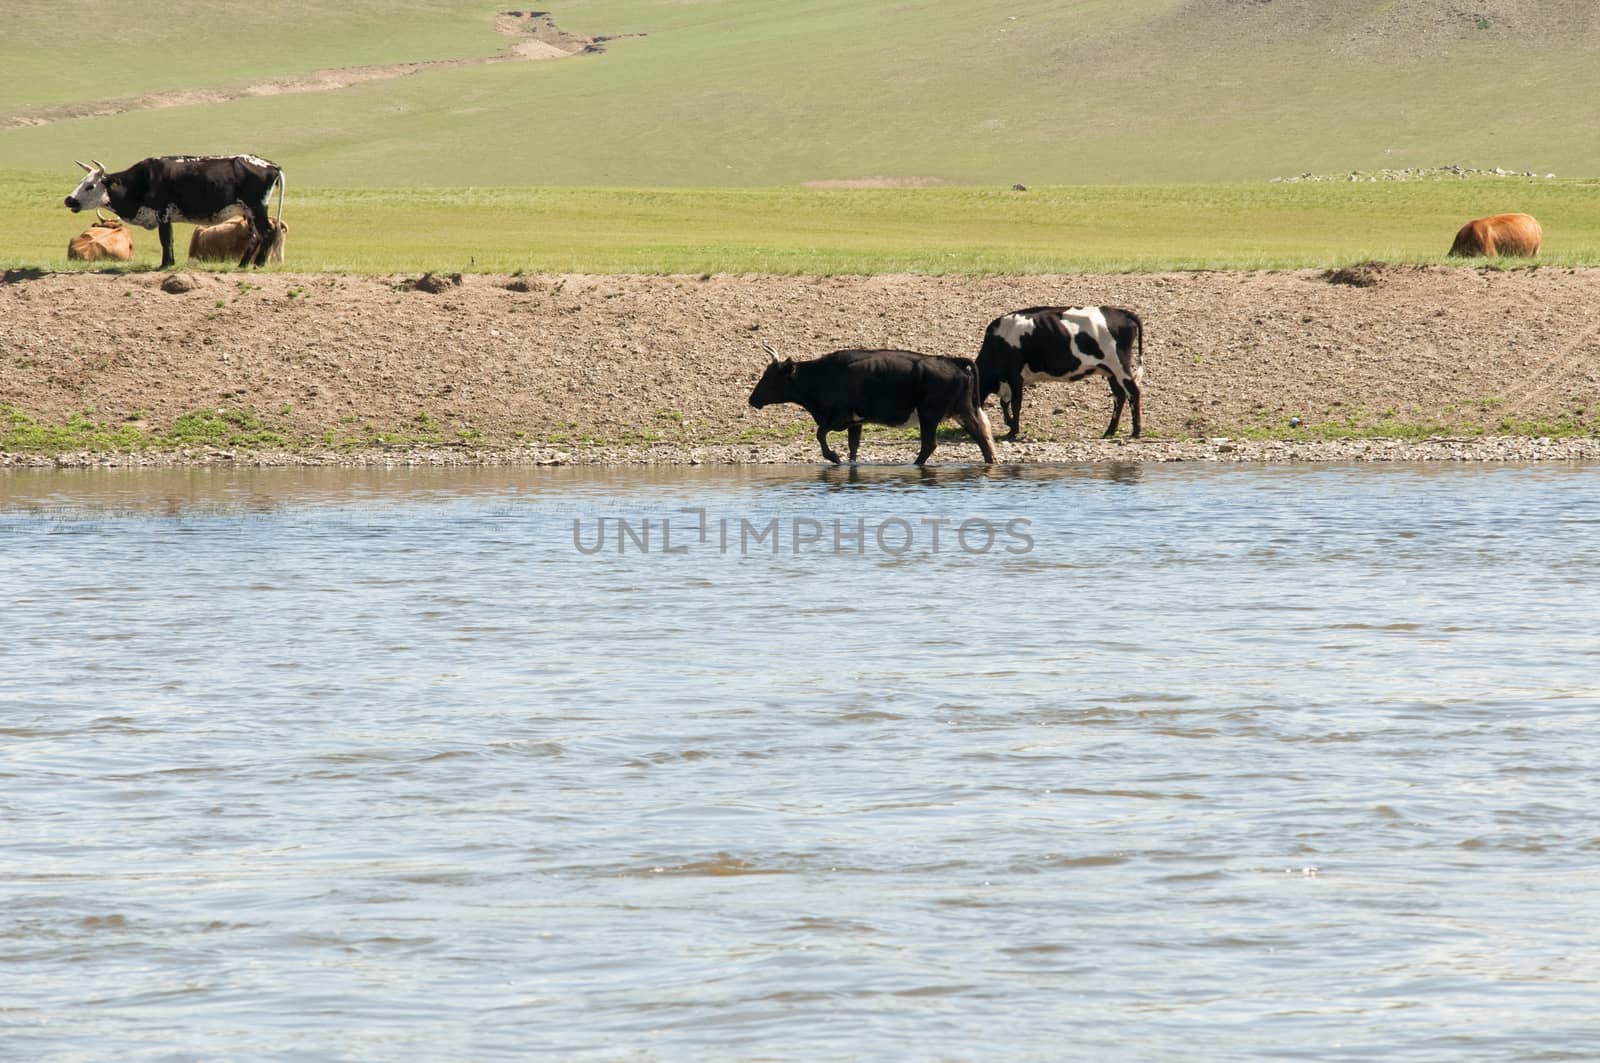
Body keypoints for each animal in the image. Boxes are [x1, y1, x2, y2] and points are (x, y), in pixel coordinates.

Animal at [63, 156, 284, 270]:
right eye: (81, 182)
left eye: (90, 186)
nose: (69, 200)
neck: (143, 180)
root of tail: (271, 165)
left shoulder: (163, 214)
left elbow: (166, 240)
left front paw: (165, 265)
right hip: (249, 212)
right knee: (255, 236)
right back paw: (243, 264)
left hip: (257, 208)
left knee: (268, 232)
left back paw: (259, 263)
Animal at [966, 305, 1145, 438]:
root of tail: (1121, 312)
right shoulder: (1007, 382)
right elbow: (1005, 403)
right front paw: (1010, 424)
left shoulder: (1015, 376)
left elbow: (1016, 404)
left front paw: (1013, 431)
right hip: (1110, 372)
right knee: (1119, 396)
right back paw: (1110, 431)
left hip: (1119, 366)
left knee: (1133, 392)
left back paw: (1136, 432)